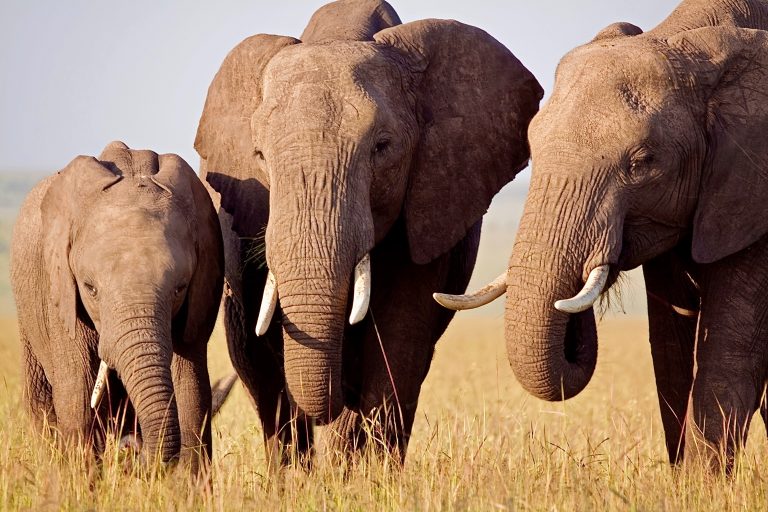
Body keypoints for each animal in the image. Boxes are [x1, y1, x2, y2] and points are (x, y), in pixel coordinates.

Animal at [11, 141, 225, 469]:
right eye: (90, 289)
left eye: (180, 288)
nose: (131, 450)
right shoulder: (57, 291)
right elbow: (77, 395)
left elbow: (191, 390)